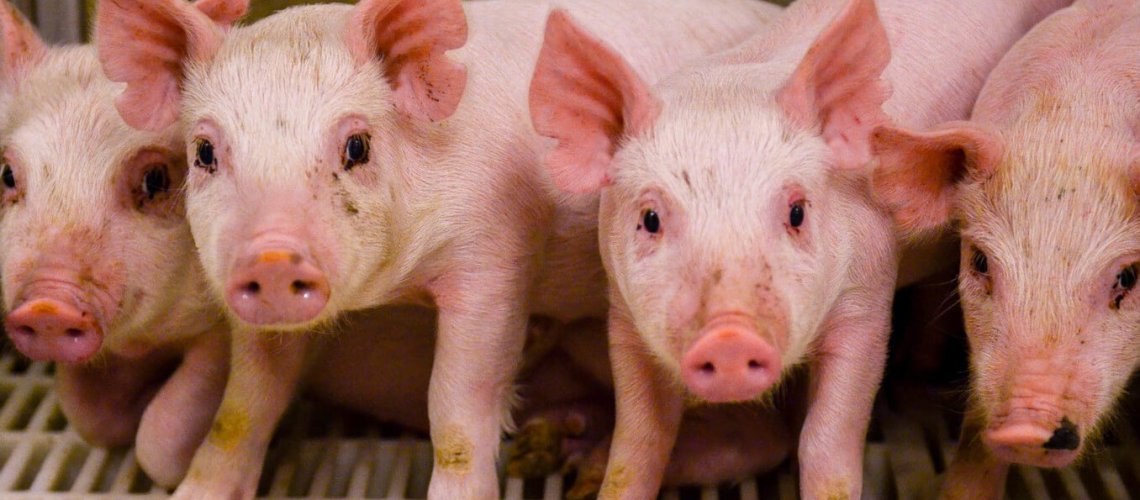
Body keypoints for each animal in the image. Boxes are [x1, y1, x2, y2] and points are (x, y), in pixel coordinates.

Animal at [97, 0, 784, 497]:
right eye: (204, 152)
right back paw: (554, 445)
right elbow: (245, 404)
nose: (271, 257)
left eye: (356, 146)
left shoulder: (495, 253)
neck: (392, 285)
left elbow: (457, 408)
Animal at [528, 0, 1072, 497]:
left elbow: (825, 444)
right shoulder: (623, 315)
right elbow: (638, 444)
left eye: (796, 212)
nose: (729, 336)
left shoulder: (867, 299)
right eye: (650, 219)